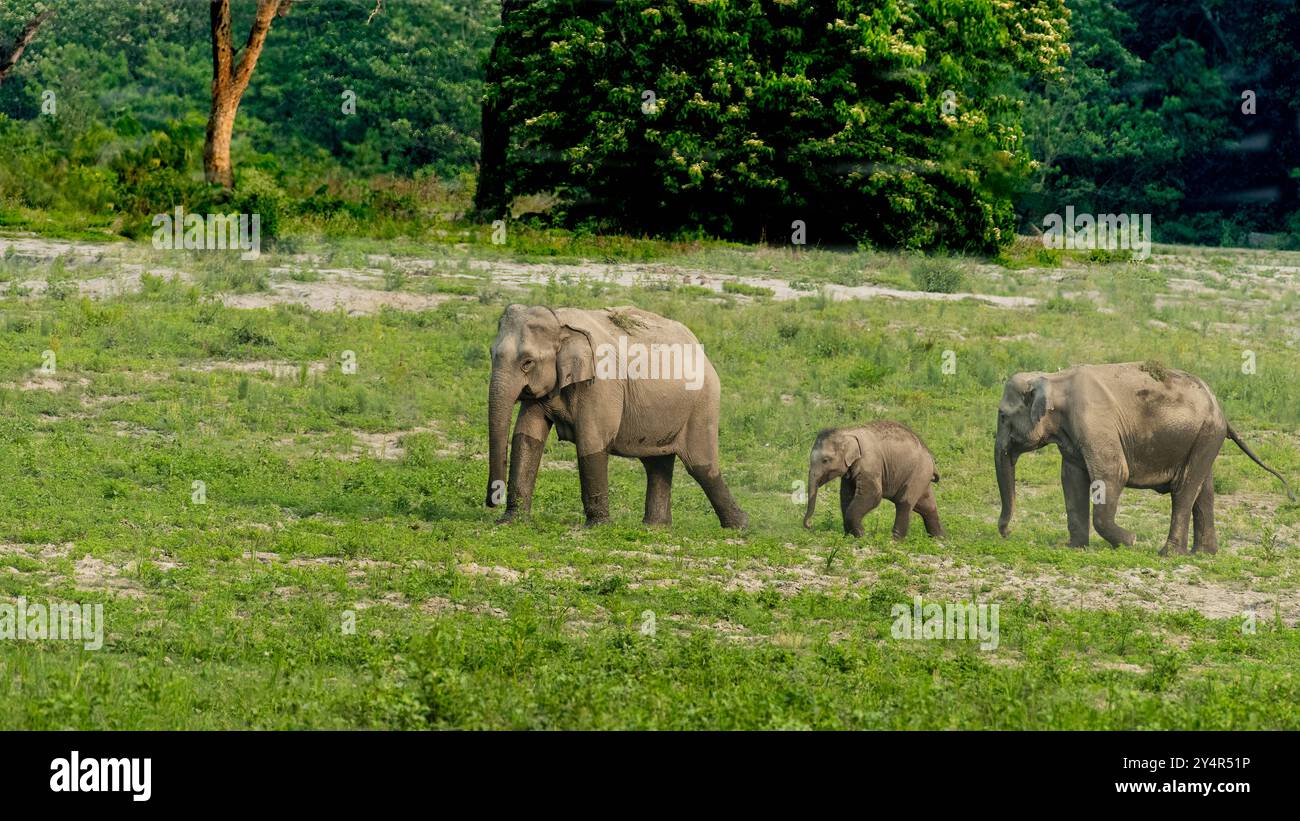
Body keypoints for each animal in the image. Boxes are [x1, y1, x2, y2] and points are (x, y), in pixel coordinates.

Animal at [488, 305, 754, 530]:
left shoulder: (601, 385)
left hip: (703, 403)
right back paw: (655, 528)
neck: (559, 321)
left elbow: (591, 442)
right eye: (491, 355)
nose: (493, 499)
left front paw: (597, 527)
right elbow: (527, 435)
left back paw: (739, 527)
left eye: (527, 363)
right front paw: (511, 521)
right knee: (657, 464)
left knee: (700, 465)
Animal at [800, 420, 946, 543]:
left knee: (904, 502)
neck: (848, 431)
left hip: (918, 473)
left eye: (825, 460)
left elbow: (873, 495)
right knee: (927, 506)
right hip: (921, 477)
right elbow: (846, 496)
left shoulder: (870, 462)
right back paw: (940, 539)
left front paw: (861, 535)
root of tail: (931, 458)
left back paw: (895, 540)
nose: (810, 525)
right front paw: (849, 536)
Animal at [993, 361, 1289, 555]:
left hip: (1206, 435)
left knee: (1184, 490)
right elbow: (1071, 479)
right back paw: (1203, 553)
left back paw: (1168, 553)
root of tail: (1221, 411)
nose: (1008, 534)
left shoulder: (1096, 425)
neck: (1054, 380)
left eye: (1002, 416)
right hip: (1203, 439)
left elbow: (1112, 475)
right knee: (1204, 491)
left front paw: (1130, 541)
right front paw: (1072, 547)